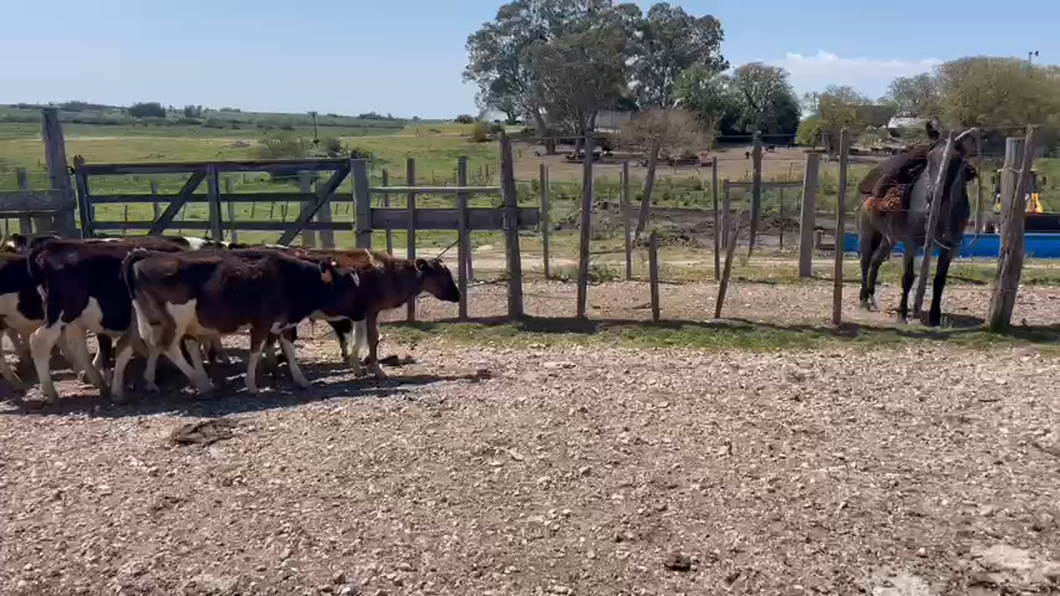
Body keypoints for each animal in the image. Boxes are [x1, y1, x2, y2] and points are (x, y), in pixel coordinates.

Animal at [119, 246, 366, 394]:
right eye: (348, 289)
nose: (362, 312)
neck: (289, 278)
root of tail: (146, 256)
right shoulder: (261, 323)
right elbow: (255, 351)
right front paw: (252, 385)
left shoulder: (283, 323)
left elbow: (289, 350)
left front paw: (300, 379)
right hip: (174, 320)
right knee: (168, 346)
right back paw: (202, 384)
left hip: (157, 319)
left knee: (157, 345)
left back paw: (155, 380)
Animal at [852, 121, 975, 324]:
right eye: (930, 157)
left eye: (958, 160)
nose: (933, 195)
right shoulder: (911, 243)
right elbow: (908, 278)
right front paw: (901, 314)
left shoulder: (950, 247)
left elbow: (939, 280)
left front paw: (934, 317)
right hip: (868, 234)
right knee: (865, 261)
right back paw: (863, 299)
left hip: (888, 239)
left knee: (876, 262)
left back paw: (871, 295)